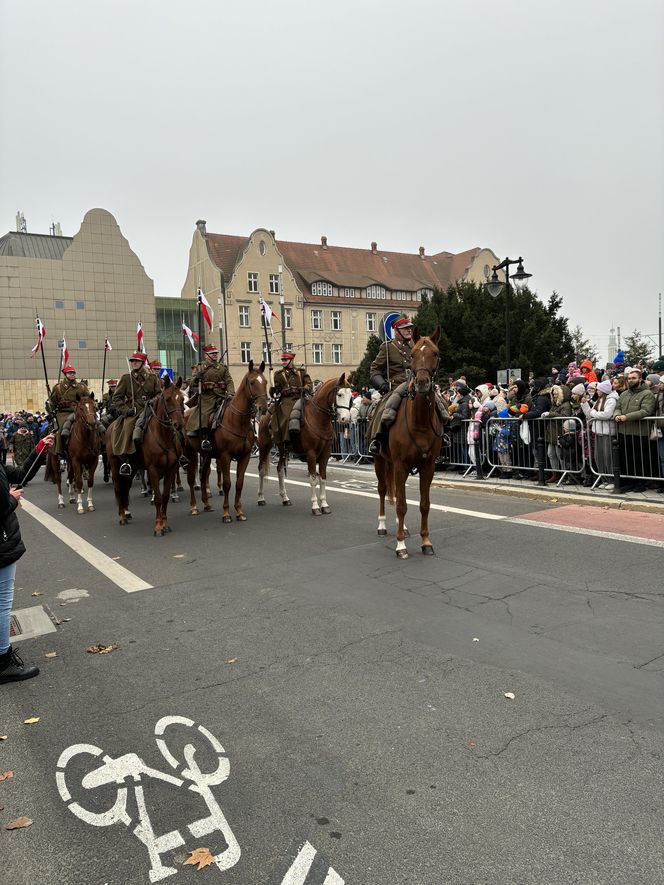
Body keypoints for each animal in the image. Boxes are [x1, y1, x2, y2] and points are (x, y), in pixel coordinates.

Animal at [105, 376, 184, 536]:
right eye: (167, 399)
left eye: (182, 399)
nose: (178, 425)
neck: (163, 436)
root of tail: (111, 426)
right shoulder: (153, 470)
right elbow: (158, 498)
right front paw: (158, 526)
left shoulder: (171, 469)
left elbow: (165, 496)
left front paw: (165, 524)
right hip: (115, 467)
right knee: (118, 489)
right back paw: (122, 516)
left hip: (132, 469)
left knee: (126, 488)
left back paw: (126, 512)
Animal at [184, 362, 268, 520]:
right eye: (252, 382)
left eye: (265, 382)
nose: (263, 408)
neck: (237, 420)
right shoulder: (225, 456)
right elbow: (227, 484)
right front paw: (226, 513)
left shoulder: (245, 457)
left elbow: (239, 483)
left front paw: (239, 511)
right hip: (190, 453)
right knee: (192, 478)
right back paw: (193, 507)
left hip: (205, 454)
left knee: (203, 475)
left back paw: (207, 504)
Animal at [256, 374, 356, 516]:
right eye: (340, 394)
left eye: (350, 396)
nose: (345, 419)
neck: (318, 418)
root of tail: (266, 414)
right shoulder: (311, 454)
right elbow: (313, 479)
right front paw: (315, 506)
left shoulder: (325, 454)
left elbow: (323, 478)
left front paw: (324, 504)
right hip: (264, 447)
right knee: (261, 470)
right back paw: (261, 498)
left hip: (282, 449)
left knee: (280, 469)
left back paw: (285, 498)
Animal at [374, 328, 440, 556]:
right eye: (412, 354)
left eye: (435, 353)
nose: (422, 383)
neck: (419, 422)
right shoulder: (401, 465)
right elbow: (402, 505)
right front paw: (400, 545)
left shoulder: (428, 466)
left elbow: (424, 504)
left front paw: (426, 541)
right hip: (380, 461)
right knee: (383, 490)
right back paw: (383, 526)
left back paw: (401, 527)